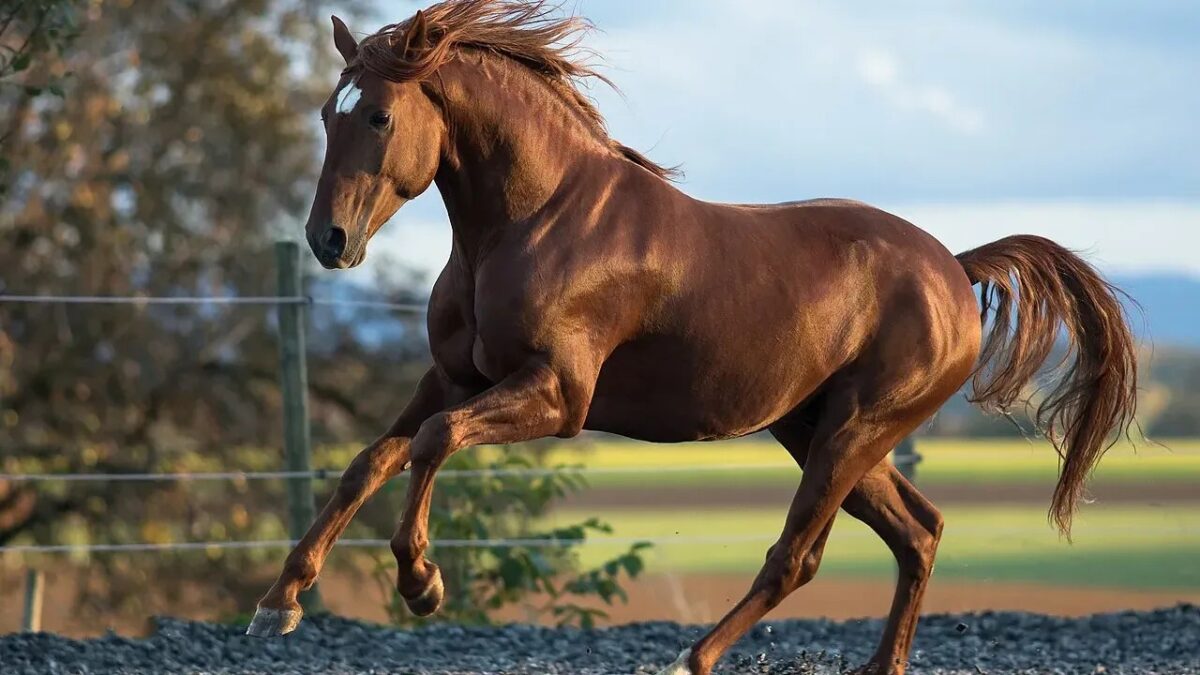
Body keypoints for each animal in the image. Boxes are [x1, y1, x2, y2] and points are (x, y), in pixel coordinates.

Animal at [246, 2, 1138, 673]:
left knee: (799, 555)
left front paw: (423, 583)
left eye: (380, 115)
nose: (328, 239)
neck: (532, 222)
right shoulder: (453, 377)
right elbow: (370, 460)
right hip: (817, 427)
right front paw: (277, 603)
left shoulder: (557, 396)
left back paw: (689, 658)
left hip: (854, 429)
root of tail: (954, 267)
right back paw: (877, 666)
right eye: (326, 113)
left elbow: (433, 441)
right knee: (918, 531)